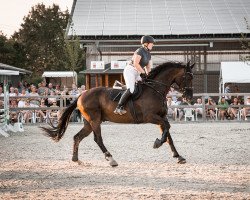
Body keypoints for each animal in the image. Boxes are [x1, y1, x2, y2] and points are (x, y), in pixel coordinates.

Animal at [43, 61, 194, 166]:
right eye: (187, 77)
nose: (189, 98)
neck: (155, 89)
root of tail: (81, 94)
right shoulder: (151, 117)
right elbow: (167, 128)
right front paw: (157, 143)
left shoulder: (161, 118)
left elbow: (168, 135)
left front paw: (178, 156)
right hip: (95, 120)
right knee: (98, 139)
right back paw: (111, 159)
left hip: (89, 123)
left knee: (77, 137)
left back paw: (76, 160)